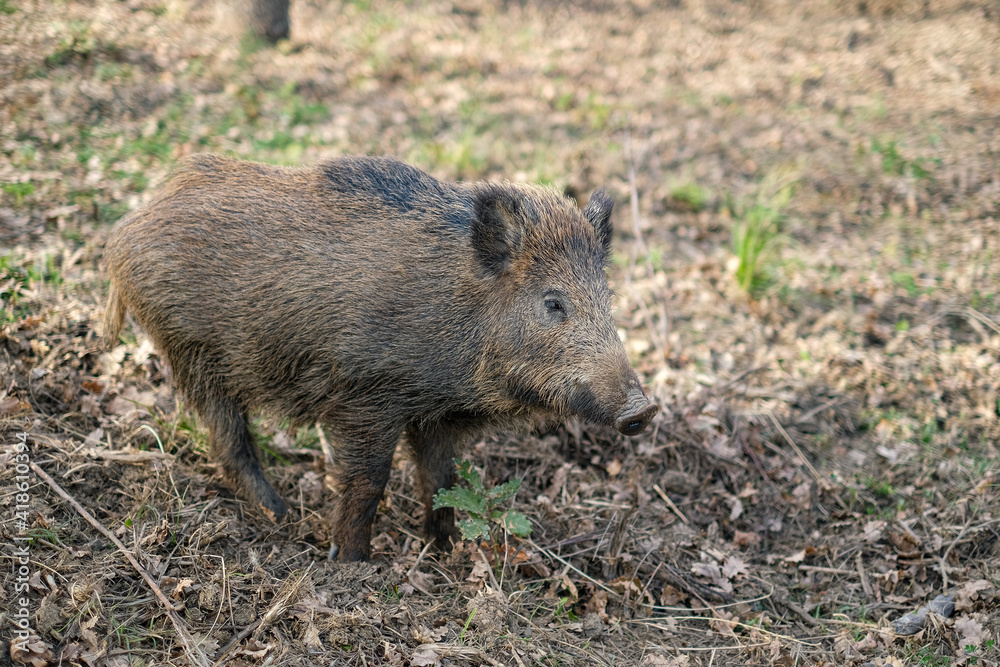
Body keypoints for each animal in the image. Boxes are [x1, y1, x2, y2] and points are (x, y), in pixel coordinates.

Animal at [102, 154, 658, 561]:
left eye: (606, 296)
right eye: (553, 302)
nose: (643, 409)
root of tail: (128, 227)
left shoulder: (437, 417)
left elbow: (440, 481)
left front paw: (445, 551)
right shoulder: (367, 397)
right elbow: (369, 482)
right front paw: (351, 563)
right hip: (192, 353)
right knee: (230, 442)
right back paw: (281, 516)